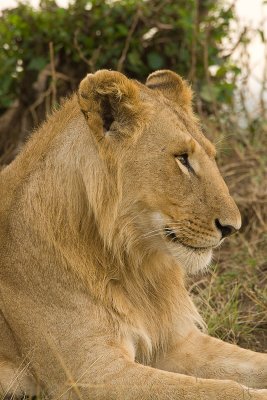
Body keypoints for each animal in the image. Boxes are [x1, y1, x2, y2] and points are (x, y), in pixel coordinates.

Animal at [0, 70, 266, 398]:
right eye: (182, 158)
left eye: (212, 156)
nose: (232, 227)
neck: (134, 264)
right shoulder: (91, 375)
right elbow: (220, 390)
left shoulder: (176, 342)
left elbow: (247, 365)